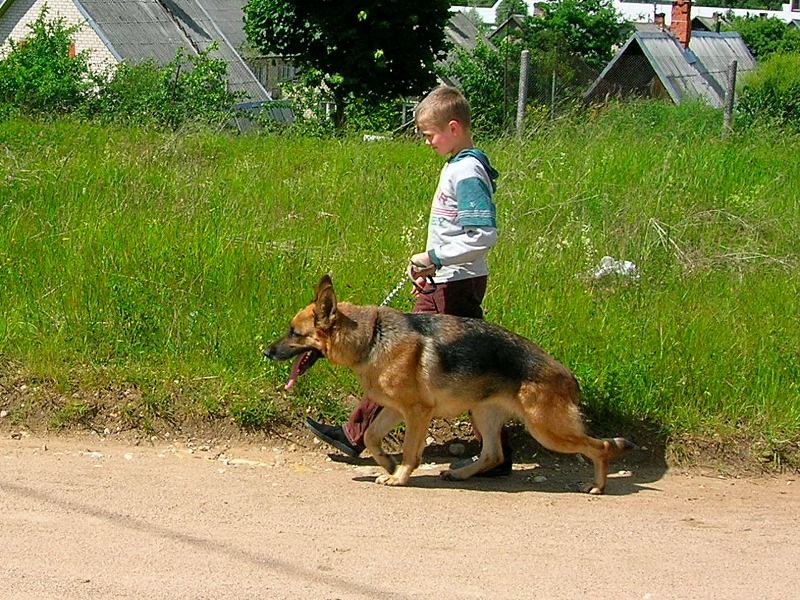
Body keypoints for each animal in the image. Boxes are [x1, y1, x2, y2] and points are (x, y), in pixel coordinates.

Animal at [265, 275, 633, 494]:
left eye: (294, 333)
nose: (265, 352)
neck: (371, 337)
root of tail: (566, 374)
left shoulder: (416, 413)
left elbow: (410, 450)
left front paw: (400, 475)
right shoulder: (393, 409)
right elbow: (370, 436)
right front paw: (387, 465)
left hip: (547, 430)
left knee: (600, 447)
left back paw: (598, 485)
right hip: (483, 415)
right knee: (494, 454)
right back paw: (462, 473)